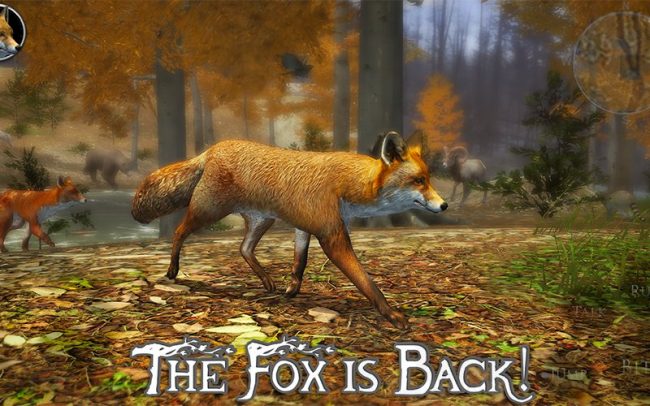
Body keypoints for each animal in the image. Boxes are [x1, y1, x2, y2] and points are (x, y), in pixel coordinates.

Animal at [132, 131, 447, 328]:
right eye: (419, 181)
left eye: (429, 179)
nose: (444, 205)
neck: (348, 185)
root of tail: (212, 149)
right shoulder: (331, 236)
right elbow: (367, 283)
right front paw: (391, 314)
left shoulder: (304, 227)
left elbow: (300, 262)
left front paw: (292, 289)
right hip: (208, 212)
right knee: (179, 231)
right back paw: (172, 270)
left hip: (263, 221)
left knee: (243, 248)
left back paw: (266, 281)